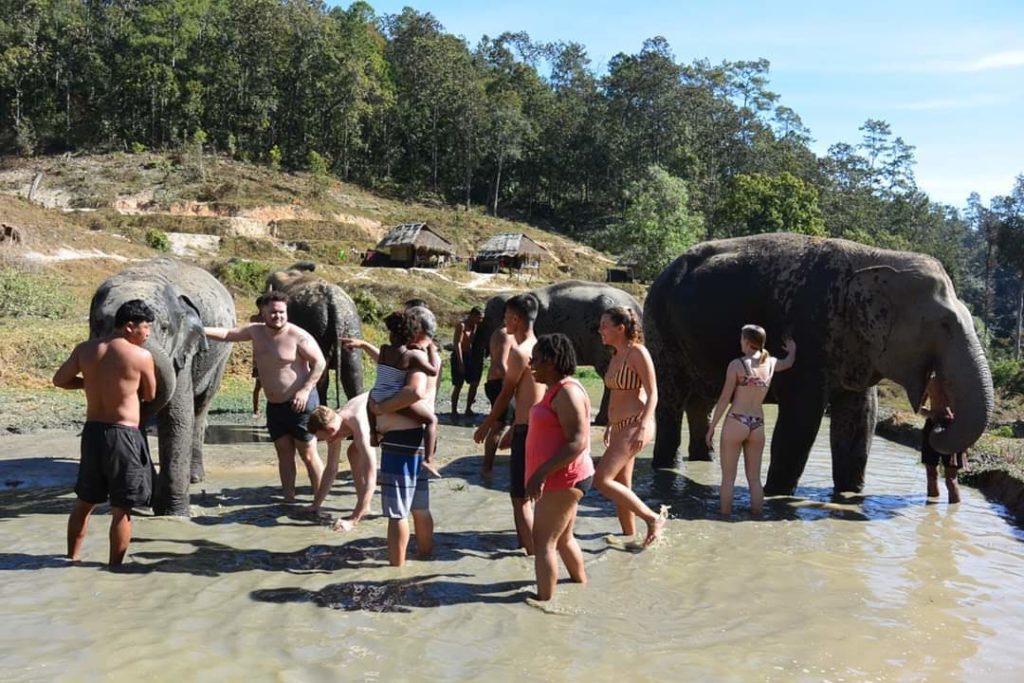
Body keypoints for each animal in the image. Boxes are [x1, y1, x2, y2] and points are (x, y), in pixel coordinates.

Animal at [89, 259, 234, 516]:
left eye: (165, 328)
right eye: (99, 324)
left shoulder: (180, 354)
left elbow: (176, 417)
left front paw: (173, 513)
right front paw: (141, 498)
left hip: (220, 359)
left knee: (200, 407)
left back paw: (195, 477)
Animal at [264, 259, 364, 403]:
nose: (312, 266)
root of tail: (333, 304)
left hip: (317, 327)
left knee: (322, 376)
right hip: (350, 326)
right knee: (353, 374)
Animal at [468, 280, 643, 423]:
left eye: (487, 320)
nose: (470, 411)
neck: (521, 293)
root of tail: (637, 308)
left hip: (605, 341)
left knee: (607, 372)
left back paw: (603, 420)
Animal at [647, 235, 991, 497]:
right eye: (944, 324)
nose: (940, 422)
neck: (877, 258)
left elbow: (860, 418)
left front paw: (850, 495)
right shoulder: (811, 332)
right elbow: (802, 419)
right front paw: (777, 496)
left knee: (702, 400)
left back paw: (703, 460)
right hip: (660, 329)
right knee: (671, 399)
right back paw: (667, 467)